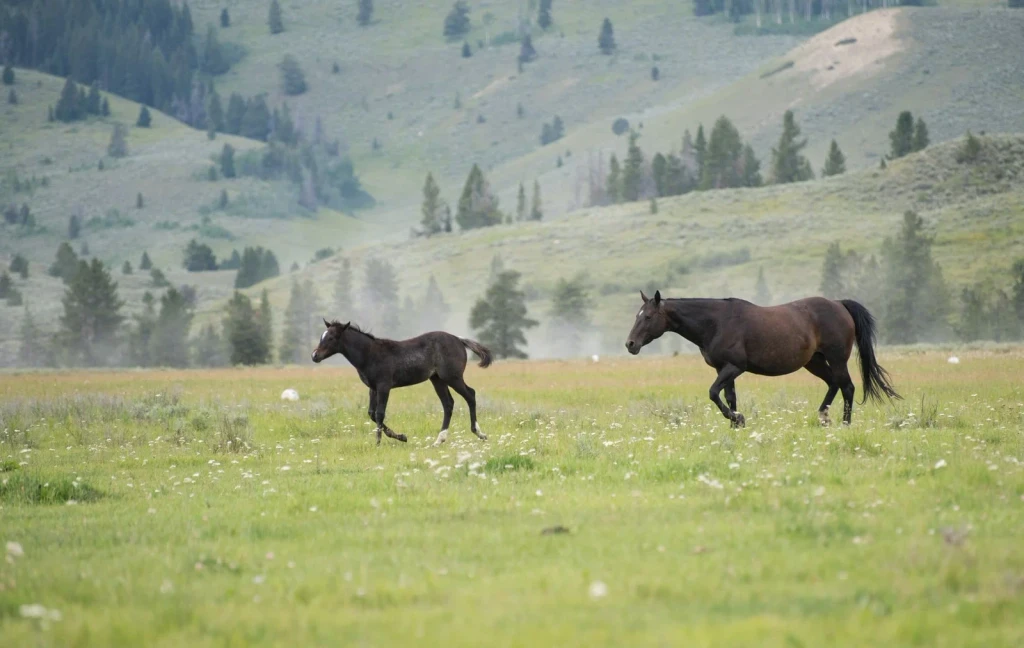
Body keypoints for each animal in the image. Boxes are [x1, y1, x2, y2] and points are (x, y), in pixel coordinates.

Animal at [311, 320, 493, 446]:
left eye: (331, 338)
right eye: (321, 337)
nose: (314, 355)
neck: (370, 354)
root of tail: (459, 339)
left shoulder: (384, 386)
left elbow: (380, 413)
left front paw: (378, 442)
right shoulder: (373, 388)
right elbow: (371, 413)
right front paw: (402, 437)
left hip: (452, 377)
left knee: (470, 395)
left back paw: (479, 433)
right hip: (437, 379)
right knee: (448, 403)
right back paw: (439, 440)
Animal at [624, 291, 900, 427]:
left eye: (648, 317)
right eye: (637, 315)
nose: (630, 344)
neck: (716, 323)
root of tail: (839, 304)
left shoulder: (734, 367)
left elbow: (713, 393)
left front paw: (738, 419)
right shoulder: (723, 369)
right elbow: (729, 397)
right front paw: (736, 424)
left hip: (837, 358)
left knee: (847, 387)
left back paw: (844, 423)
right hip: (814, 361)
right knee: (833, 384)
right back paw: (823, 417)